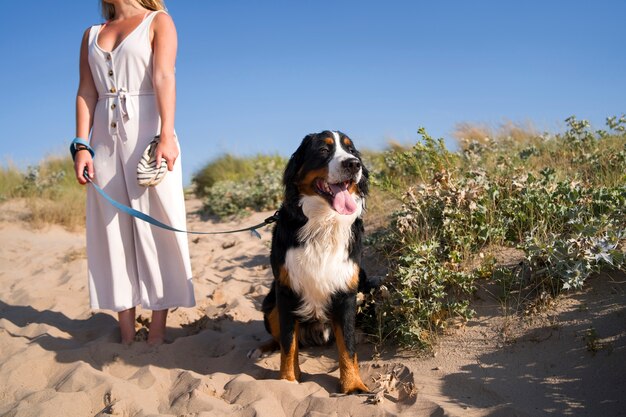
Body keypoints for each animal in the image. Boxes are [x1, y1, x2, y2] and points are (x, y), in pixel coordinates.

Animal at [249, 130, 380, 394]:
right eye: (323, 150)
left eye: (351, 150)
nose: (354, 164)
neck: (323, 223)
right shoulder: (286, 290)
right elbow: (288, 344)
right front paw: (287, 381)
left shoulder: (346, 291)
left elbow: (348, 346)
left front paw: (353, 385)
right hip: (271, 303)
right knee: (280, 338)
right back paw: (261, 350)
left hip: (366, 286)